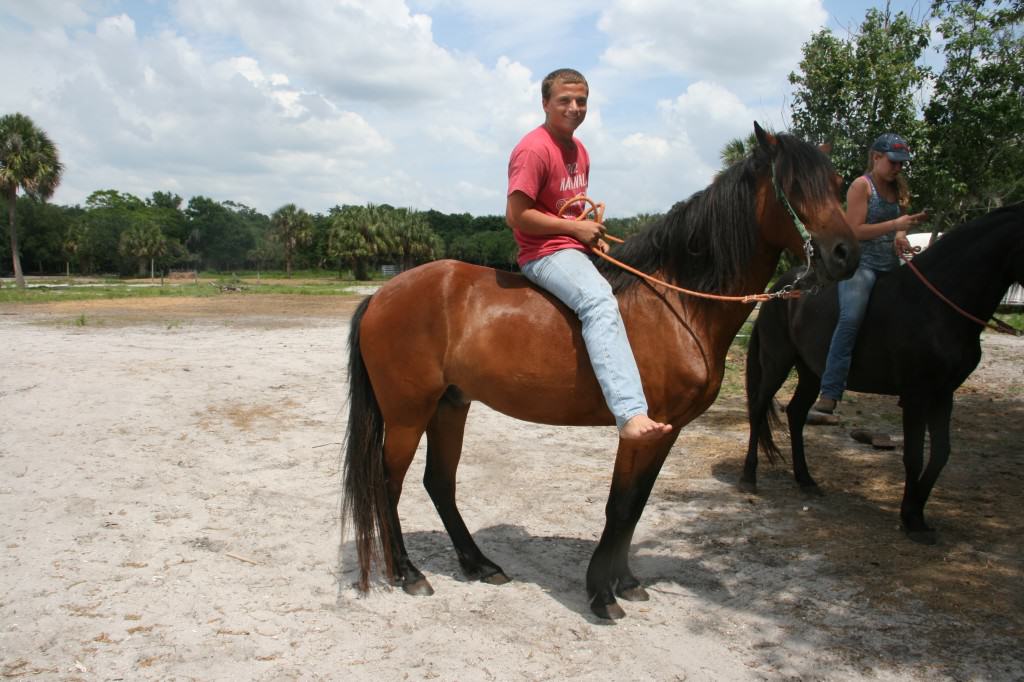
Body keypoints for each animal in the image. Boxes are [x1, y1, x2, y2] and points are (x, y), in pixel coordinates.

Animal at [342, 122, 856, 614]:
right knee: (387, 484)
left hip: (450, 405)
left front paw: (625, 582)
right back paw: (408, 572)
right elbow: (620, 506)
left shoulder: (668, 430)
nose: (844, 255)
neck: (677, 304)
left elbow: (637, 506)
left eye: (836, 184)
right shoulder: (640, 430)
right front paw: (601, 595)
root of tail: (380, 296)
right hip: (407, 414)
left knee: (439, 483)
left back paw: (479, 564)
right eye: (793, 185)